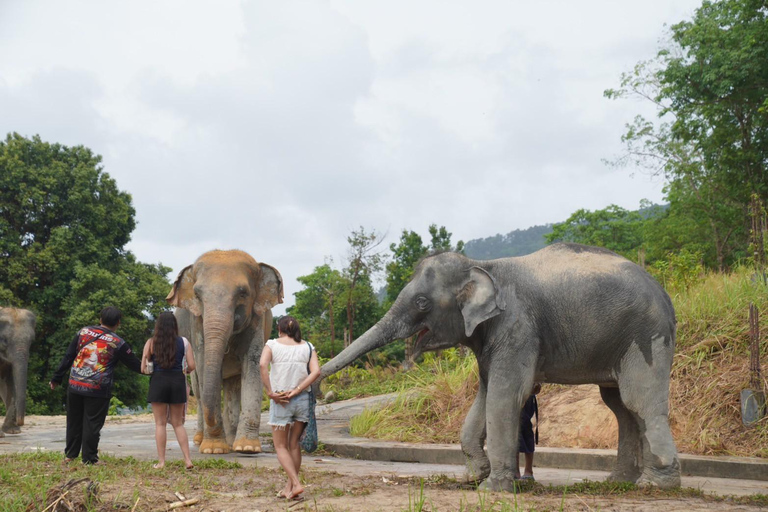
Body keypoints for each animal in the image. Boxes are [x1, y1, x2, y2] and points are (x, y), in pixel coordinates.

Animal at [166, 249, 283, 454]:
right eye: (197, 295)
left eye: (243, 293)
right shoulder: (197, 323)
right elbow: (204, 366)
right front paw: (213, 449)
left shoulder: (257, 319)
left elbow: (252, 365)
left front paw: (247, 448)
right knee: (198, 390)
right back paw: (200, 440)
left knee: (232, 388)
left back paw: (231, 441)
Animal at [320, 243, 681, 490]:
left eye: (422, 303)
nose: (319, 380)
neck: (480, 265)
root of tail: (665, 294)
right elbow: (485, 395)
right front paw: (473, 478)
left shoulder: (517, 326)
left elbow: (506, 395)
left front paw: (492, 488)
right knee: (620, 406)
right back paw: (618, 483)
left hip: (645, 337)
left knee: (639, 401)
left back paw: (654, 485)